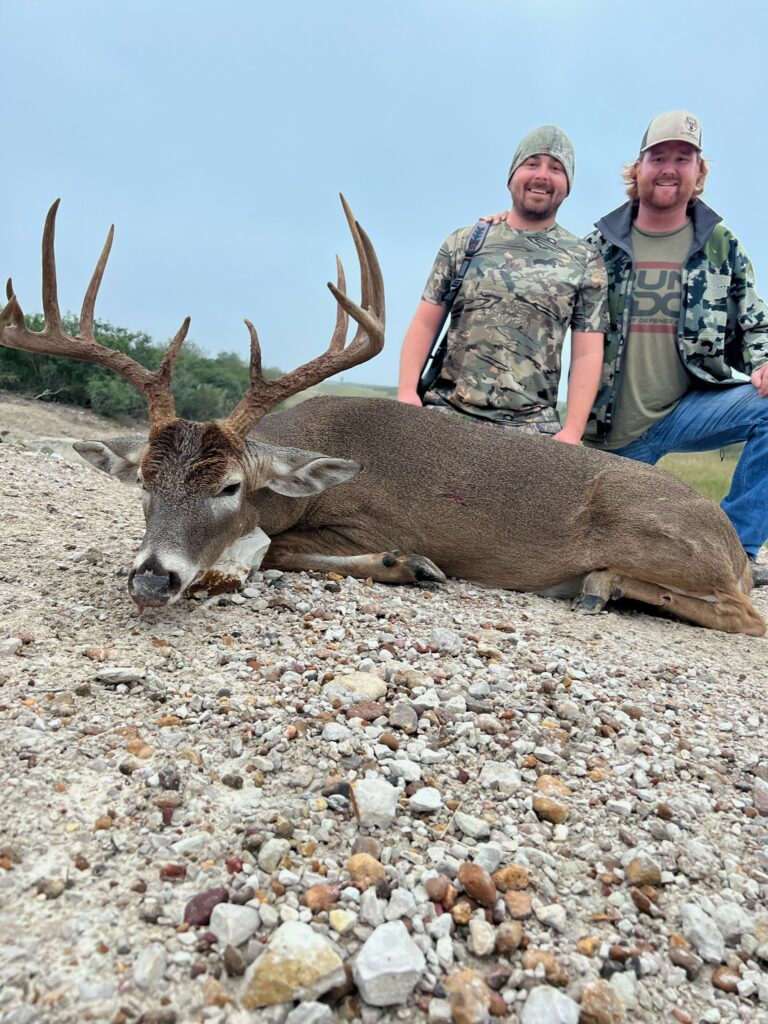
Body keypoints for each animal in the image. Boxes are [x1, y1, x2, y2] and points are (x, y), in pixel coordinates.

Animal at [1, 199, 764, 636]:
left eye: (230, 487)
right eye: (144, 482)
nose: (152, 580)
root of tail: (728, 539)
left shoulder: (370, 516)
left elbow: (279, 549)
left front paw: (410, 564)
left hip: (662, 539)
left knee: (745, 614)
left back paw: (600, 585)